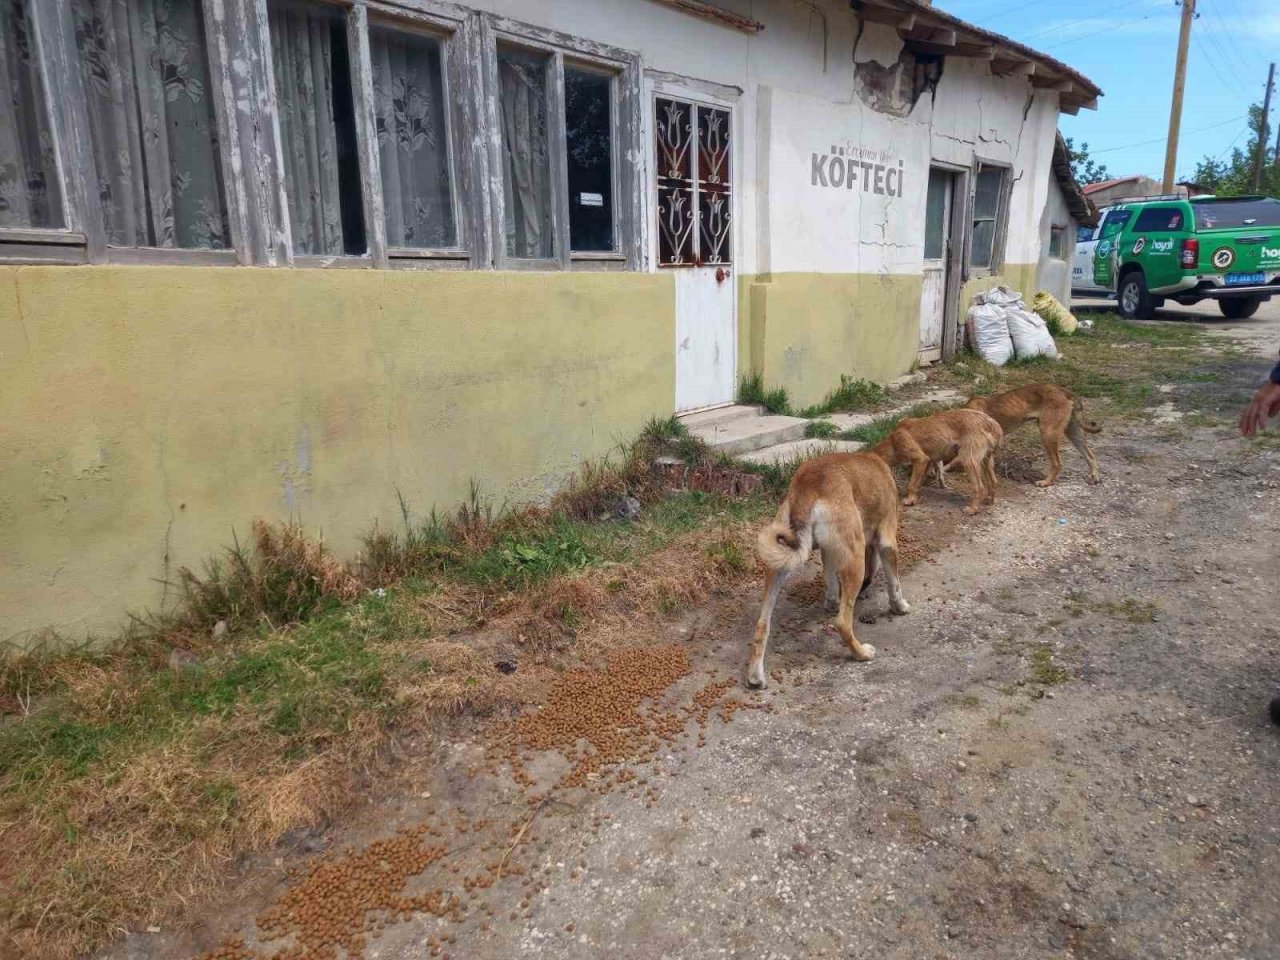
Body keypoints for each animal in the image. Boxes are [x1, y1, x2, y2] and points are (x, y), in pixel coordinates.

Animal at [747, 453, 906, 691]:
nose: (867, 583)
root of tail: (809, 481)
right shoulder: (887, 540)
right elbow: (894, 584)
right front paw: (900, 606)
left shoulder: (828, 550)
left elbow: (830, 580)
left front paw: (831, 602)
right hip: (855, 556)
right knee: (843, 624)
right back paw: (861, 653)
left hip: (780, 563)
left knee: (761, 625)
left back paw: (755, 676)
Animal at [870, 407, 998, 514]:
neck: (892, 442)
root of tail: (991, 423)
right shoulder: (928, 461)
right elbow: (918, 482)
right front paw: (915, 497)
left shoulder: (921, 459)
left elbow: (911, 484)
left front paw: (909, 500)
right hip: (986, 460)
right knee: (993, 481)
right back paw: (990, 500)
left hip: (968, 460)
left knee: (980, 487)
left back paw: (973, 508)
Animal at [962, 384, 1100, 488]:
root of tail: (1064, 390)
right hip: (1073, 432)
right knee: (1090, 455)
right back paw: (1095, 477)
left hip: (1048, 434)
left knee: (1057, 463)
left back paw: (1045, 482)